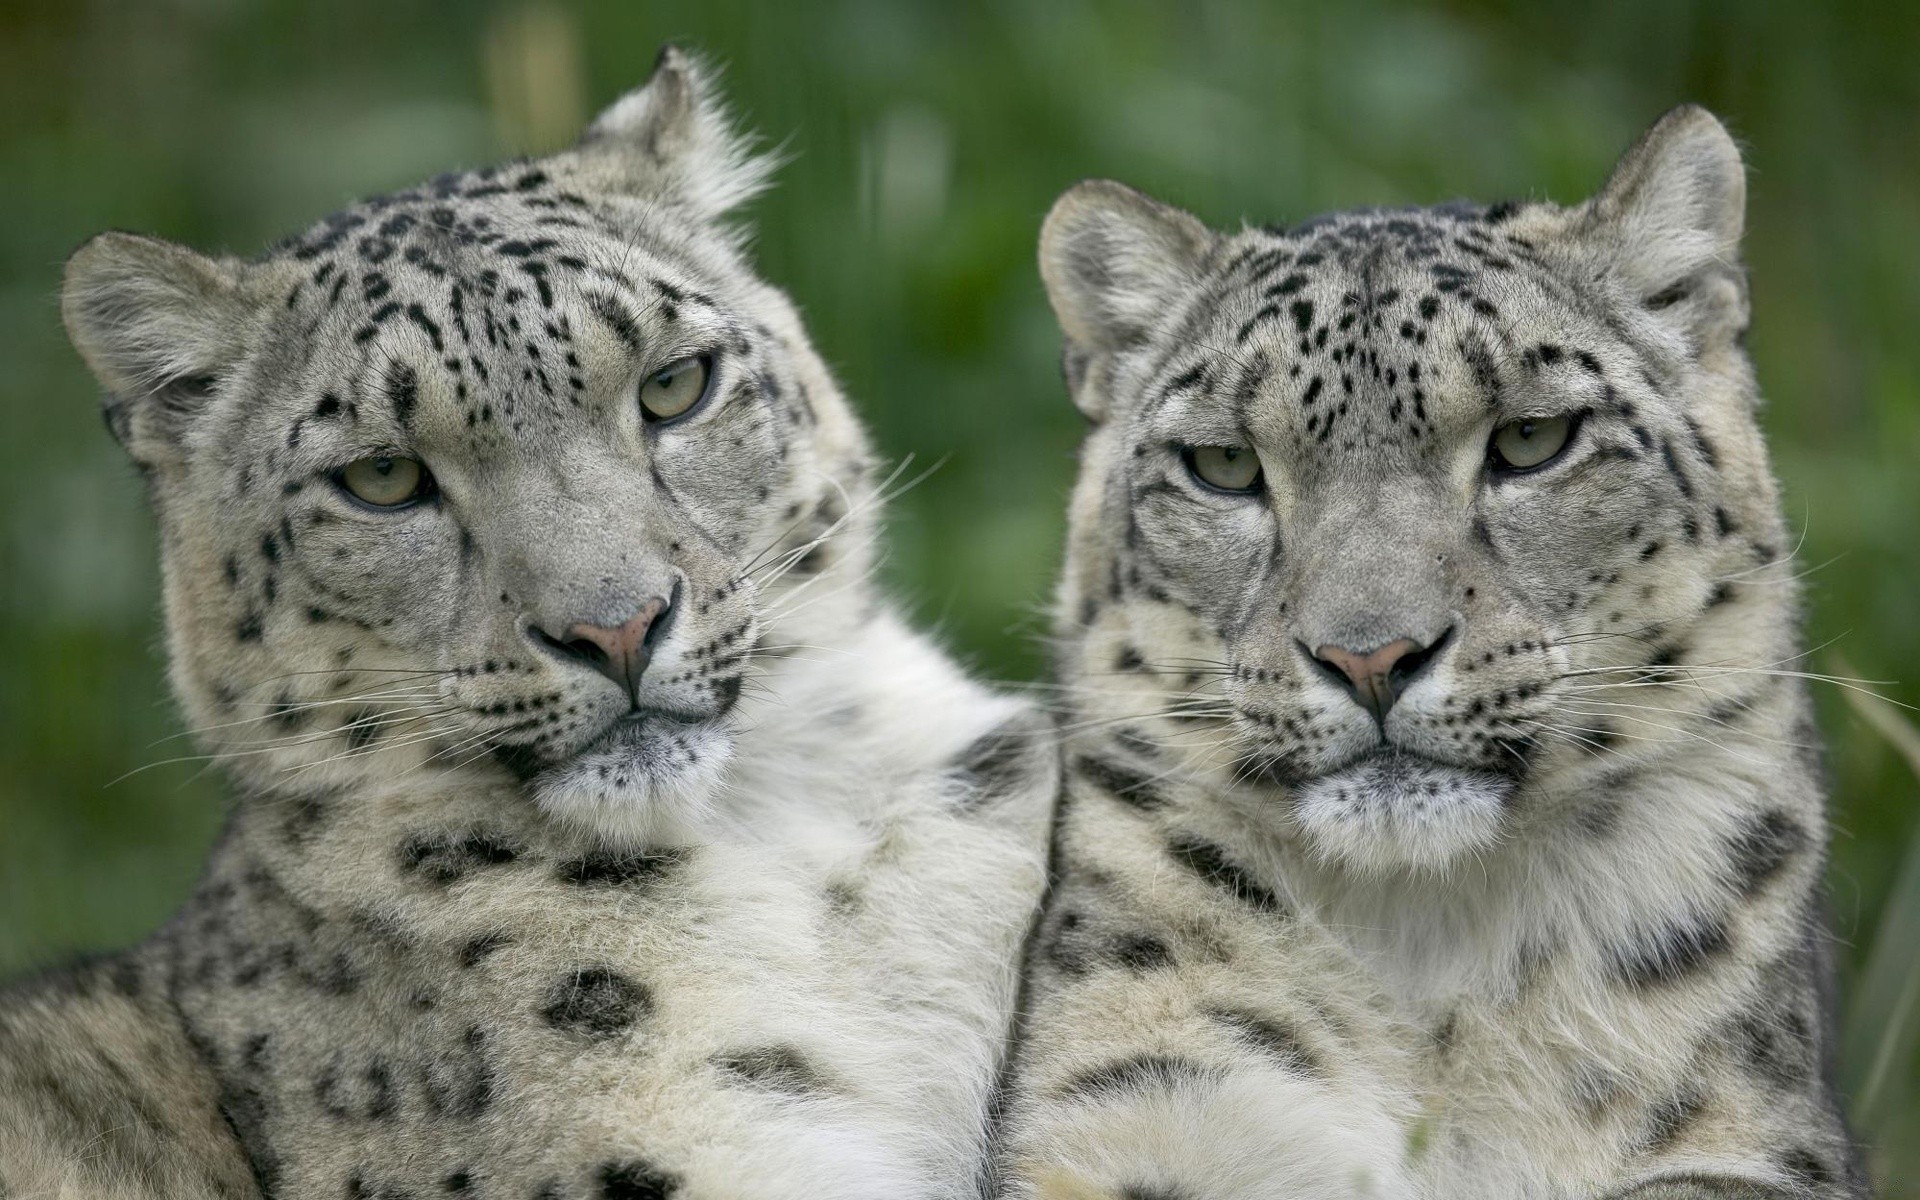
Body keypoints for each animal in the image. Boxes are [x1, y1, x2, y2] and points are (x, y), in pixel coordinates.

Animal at [998, 107, 1866, 1198]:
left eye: (1533, 438)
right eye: (1224, 464)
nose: (1371, 658)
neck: (1428, 963)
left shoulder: (1744, 1146)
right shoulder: (1130, 1112)